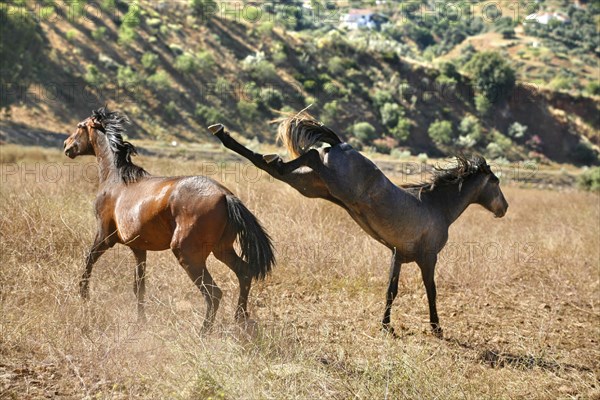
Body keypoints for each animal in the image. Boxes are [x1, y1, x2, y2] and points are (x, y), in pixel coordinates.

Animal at [62, 108, 274, 330]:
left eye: (79, 126)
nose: (66, 145)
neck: (116, 180)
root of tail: (226, 195)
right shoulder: (139, 248)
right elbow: (139, 286)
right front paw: (141, 321)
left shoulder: (105, 236)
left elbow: (88, 261)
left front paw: (84, 297)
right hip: (222, 249)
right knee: (245, 272)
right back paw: (240, 318)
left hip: (187, 253)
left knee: (214, 293)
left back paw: (203, 332)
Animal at [209, 113, 508, 338]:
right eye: (495, 182)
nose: (503, 209)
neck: (437, 207)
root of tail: (343, 145)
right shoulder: (428, 257)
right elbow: (431, 291)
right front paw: (436, 328)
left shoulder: (398, 255)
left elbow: (391, 291)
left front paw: (386, 326)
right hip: (331, 180)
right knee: (309, 156)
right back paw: (255, 147)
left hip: (310, 185)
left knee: (274, 167)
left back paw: (227, 136)